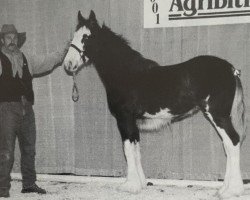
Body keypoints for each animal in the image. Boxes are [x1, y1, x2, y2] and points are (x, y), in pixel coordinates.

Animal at [63, 10, 246, 198]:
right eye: (74, 35)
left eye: (86, 37)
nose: (68, 64)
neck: (126, 74)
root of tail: (230, 69)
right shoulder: (133, 122)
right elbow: (136, 150)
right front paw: (141, 183)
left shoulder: (124, 119)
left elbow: (128, 150)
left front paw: (130, 186)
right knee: (229, 144)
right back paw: (225, 189)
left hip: (218, 115)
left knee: (232, 142)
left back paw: (231, 190)